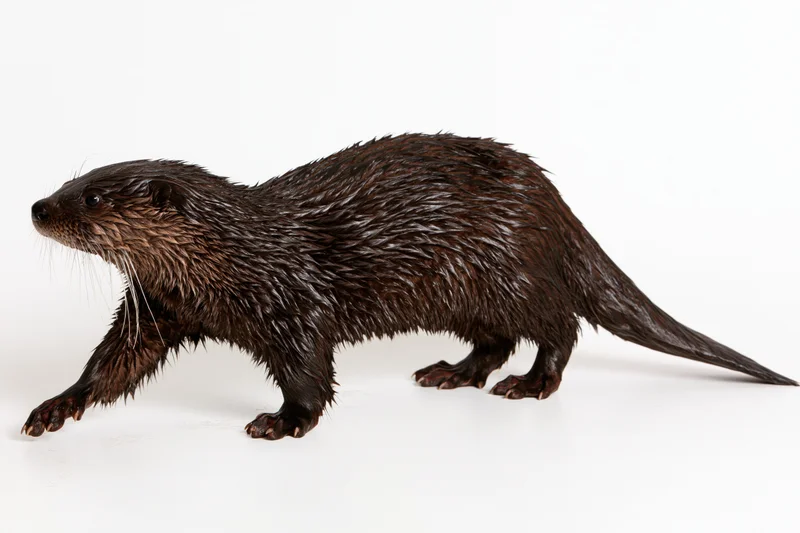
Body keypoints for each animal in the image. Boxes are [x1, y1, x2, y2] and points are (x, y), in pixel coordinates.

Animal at [22, 133, 796, 440]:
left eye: (92, 199)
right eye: (69, 180)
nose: (37, 207)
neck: (229, 262)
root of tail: (552, 202)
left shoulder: (293, 303)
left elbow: (309, 371)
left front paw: (283, 421)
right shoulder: (156, 306)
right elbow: (112, 366)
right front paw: (55, 407)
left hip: (507, 269)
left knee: (559, 325)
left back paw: (529, 384)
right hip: (469, 290)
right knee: (496, 338)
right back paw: (452, 372)